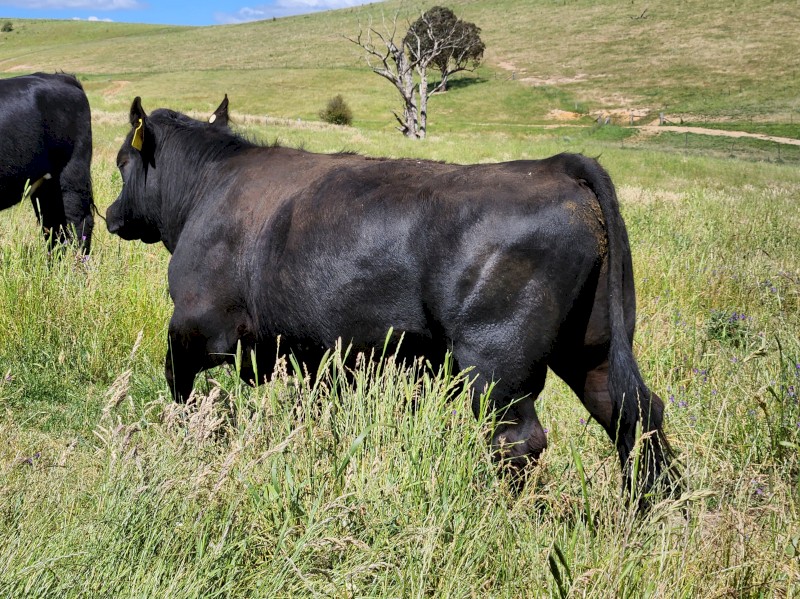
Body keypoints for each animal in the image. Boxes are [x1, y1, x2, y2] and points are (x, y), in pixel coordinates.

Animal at [107, 96, 675, 501]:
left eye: (121, 161)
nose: (110, 214)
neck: (208, 186)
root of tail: (557, 165)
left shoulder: (193, 325)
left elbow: (178, 389)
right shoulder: (309, 353)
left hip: (497, 366)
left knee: (520, 441)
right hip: (592, 345)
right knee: (634, 412)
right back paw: (653, 509)